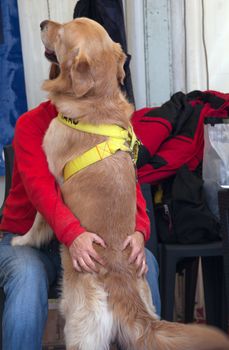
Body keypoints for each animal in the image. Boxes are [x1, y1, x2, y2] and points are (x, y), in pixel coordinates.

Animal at [11, 17, 229, 350]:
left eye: (61, 33)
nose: (43, 23)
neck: (95, 100)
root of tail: (124, 290)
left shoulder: (50, 173)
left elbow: (38, 219)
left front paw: (21, 240)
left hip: (80, 330)